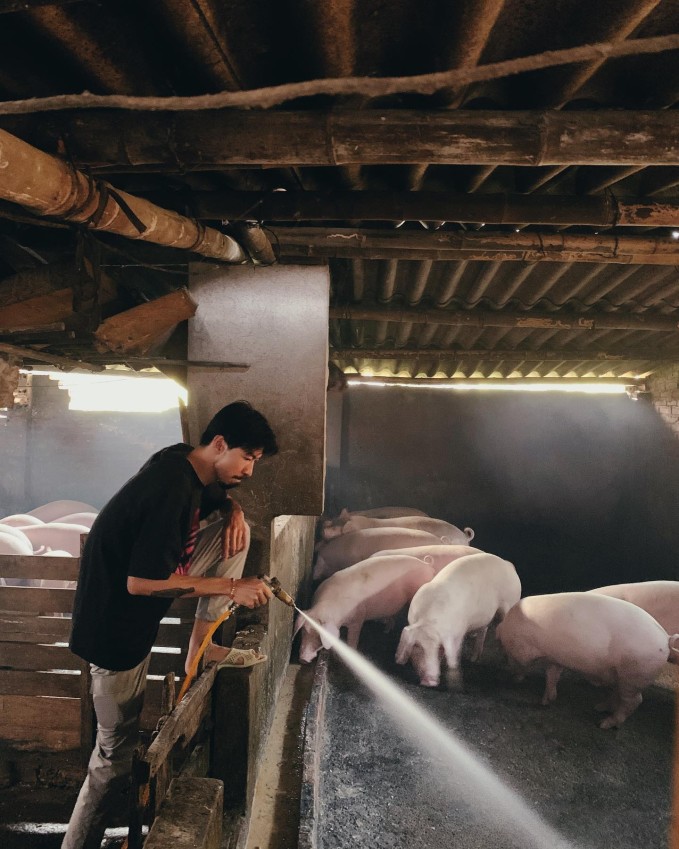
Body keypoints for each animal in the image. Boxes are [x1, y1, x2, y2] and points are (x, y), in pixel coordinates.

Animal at [396, 552, 516, 684]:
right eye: (417, 646)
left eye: (439, 647)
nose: (430, 681)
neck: (428, 622)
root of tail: (508, 565)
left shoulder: (459, 632)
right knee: (483, 629)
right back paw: (474, 659)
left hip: (510, 603)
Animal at [494, 588, 679, 728]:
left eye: (506, 650)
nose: (509, 673)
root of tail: (665, 638)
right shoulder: (556, 657)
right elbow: (552, 675)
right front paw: (546, 701)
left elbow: (541, 670)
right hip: (623, 675)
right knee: (618, 694)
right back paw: (599, 707)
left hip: (635, 674)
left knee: (634, 700)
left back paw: (604, 724)